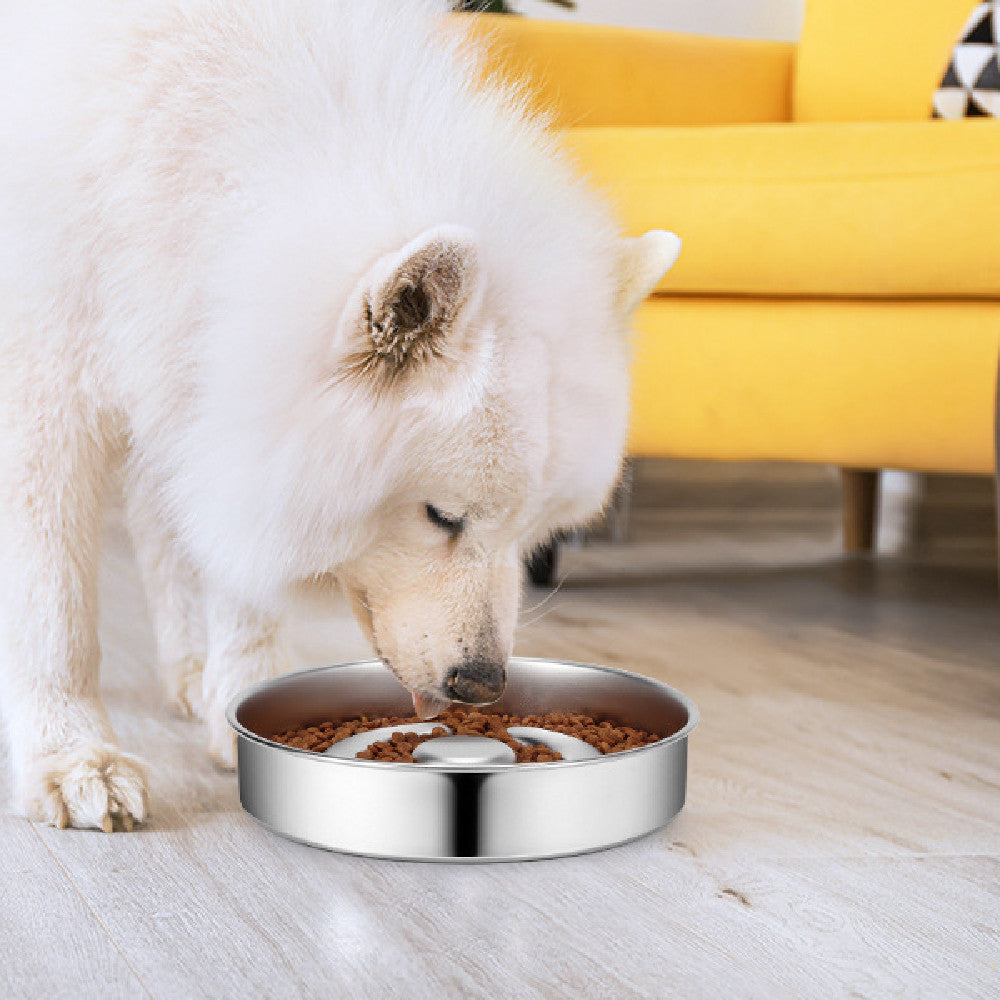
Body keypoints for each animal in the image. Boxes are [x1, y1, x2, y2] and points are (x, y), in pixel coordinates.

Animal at [0, 0, 680, 828]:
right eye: (441, 516)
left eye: (534, 534)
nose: (482, 684)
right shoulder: (46, 397)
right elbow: (54, 609)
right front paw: (73, 757)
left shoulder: (218, 395)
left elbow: (235, 571)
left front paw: (237, 692)